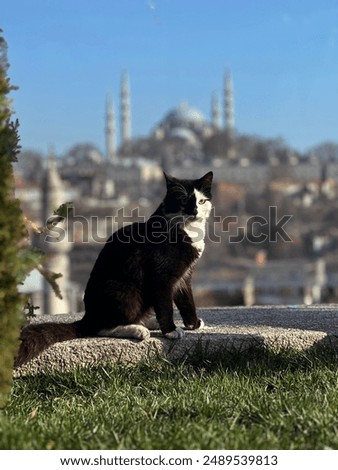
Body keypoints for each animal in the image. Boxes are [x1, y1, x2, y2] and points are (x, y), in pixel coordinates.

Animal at [15, 171, 214, 370]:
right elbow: (165, 305)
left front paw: (193, 324)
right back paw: (138, 329)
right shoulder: (161, 276)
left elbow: (186, 300)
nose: (195, 211)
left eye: (202, 201)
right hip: (125, 291)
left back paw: (149, 321)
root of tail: (88, 316)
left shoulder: (184, 274)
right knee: (102, 328)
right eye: (184, 200)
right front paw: (171, 331)